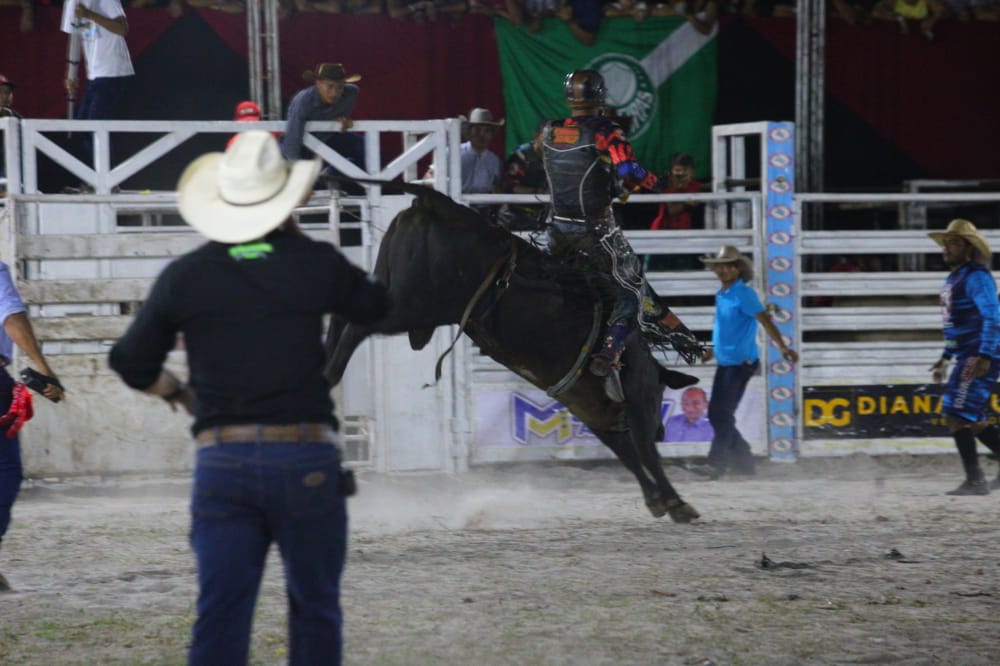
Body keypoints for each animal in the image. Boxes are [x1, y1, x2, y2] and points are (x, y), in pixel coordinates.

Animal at [324, 184, 700, 520]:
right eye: (660, 393)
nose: (663, 431)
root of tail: (435, 204)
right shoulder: (636, 401)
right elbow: (646, 453)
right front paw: (678, 503)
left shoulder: (592, 409)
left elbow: (626, 454)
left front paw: (656, 500)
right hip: (413, 307)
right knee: (357, 327)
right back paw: (330, 373)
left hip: (389, 287)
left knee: (342, 316)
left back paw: (324, 370)